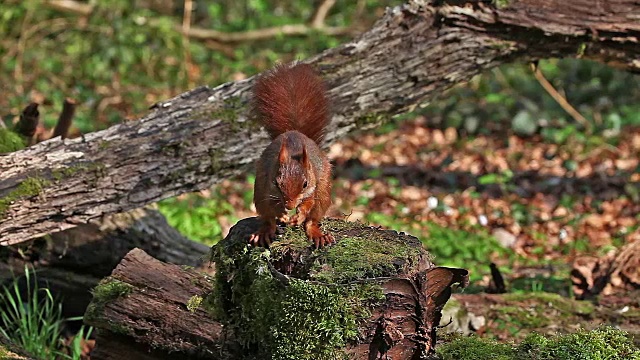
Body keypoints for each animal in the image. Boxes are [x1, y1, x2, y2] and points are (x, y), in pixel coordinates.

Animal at [249, 63, 336, 249]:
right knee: (267, 219)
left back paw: (317, 234)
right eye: (276, 182)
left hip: (323, 192)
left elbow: (308, 204)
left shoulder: (313, 186)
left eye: (305, 184)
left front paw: (298, 216)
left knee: (313, 219)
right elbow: (272, 205)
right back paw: (264, 232)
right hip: (259, 192)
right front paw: (282, 214)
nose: (289, 206)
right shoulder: (268, 186)